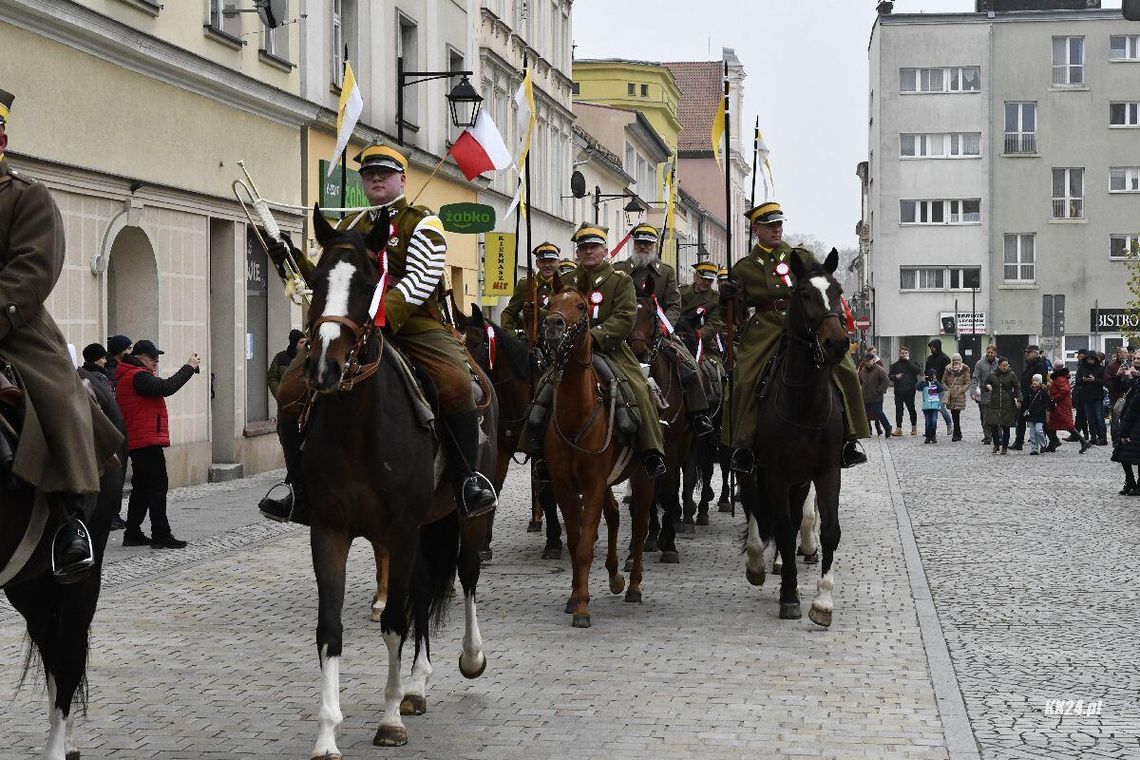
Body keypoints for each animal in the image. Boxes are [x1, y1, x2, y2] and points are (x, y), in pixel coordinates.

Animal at [300, 209, 492, 756]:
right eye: (316, 281)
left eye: (369, 284)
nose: (325, 367)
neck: (358, 426)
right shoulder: (330, 530)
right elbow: (331, 629)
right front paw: (327, 734)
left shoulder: (401, 529)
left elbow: (393, 623)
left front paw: (388, 721)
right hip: (427, 526)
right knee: (425, 591)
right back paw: (416, 686)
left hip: (466, 515)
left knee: (466, 575)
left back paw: (469, 657)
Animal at [540, 287, 656, 628]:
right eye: (550, 303)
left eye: (581, 305)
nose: (552, 325)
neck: (576, 415)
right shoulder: (565, 485)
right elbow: (577, 540)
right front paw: (573, 597)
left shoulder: (592, 485)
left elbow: (585, 547)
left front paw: (582, 609)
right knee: (615, 514)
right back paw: (615, 576)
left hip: (642, 477)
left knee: (640, 526)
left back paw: (633, 586)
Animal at [624, 296, 693, 565]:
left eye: (653, 315)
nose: (638, 351)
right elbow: (643, 497)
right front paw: (637, 545)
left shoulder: (672, 447)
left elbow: (669, 490)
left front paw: (669, 543)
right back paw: (651, 535)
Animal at [738, 247, 848, 628]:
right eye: (804, 295)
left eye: (837, 290)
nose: (837, 343)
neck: (805, 404)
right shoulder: (774, 473)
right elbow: (783, 529)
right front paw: (789, 595)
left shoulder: (827, 471)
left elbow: (828, 529)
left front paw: (823, 602)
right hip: (750, 468)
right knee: (754, 507)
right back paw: (757, 562)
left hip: (800, 479)